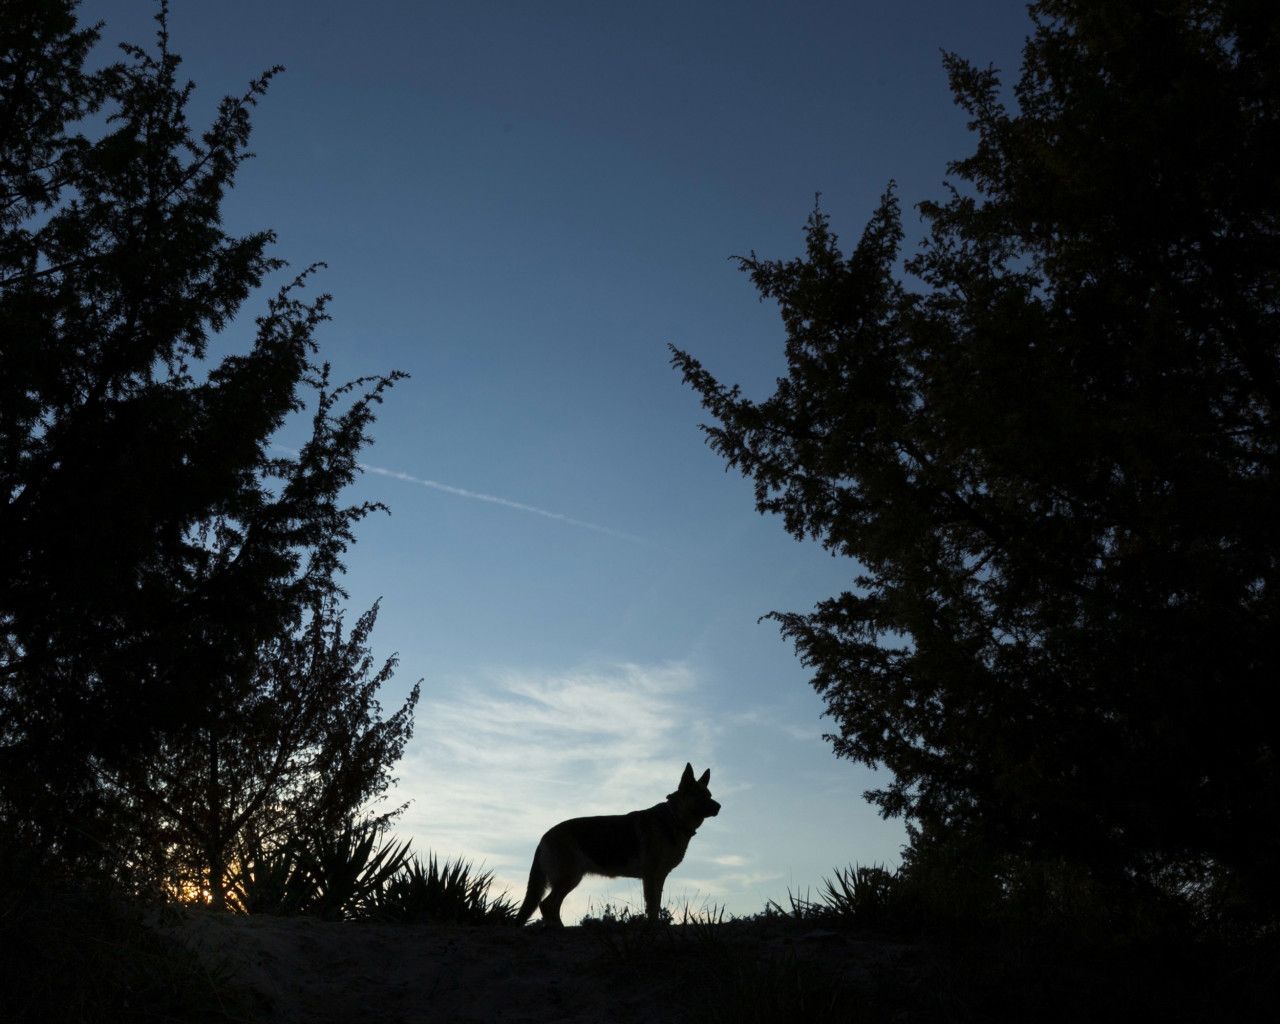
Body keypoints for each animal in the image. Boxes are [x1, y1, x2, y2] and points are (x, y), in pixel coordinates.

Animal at [515, 762, 720, 927]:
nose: (719, 807)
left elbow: (656, 904)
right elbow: (652, 905)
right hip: (569, 877)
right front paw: (652, 927)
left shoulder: (659, 877)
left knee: (551, 905)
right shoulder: (650, 875)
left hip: (570, 879)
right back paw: (557, 928)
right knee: (546, 904)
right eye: (701, 796)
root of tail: (544, 837)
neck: (674, 818)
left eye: (709, 794)